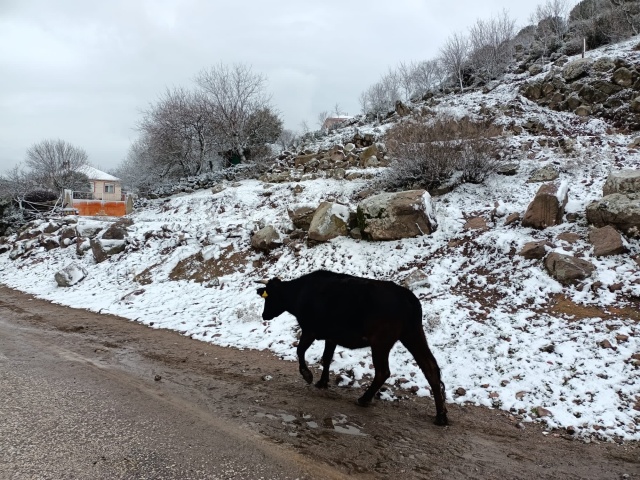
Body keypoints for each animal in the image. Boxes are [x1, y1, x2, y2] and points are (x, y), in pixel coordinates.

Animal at [252, 270, 448, 424]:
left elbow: (300, 351)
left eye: (269, 297)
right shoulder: (331, 336)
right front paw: (322, 382)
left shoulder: (309, 330)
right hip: (413, 334)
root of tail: (408, 297)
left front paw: (307, 375)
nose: (264, 315)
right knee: (430, 367)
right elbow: (326, 358)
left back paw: (364, 399)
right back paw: (441, 415)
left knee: (383, 371)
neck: (299, 293)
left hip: (381, 342)